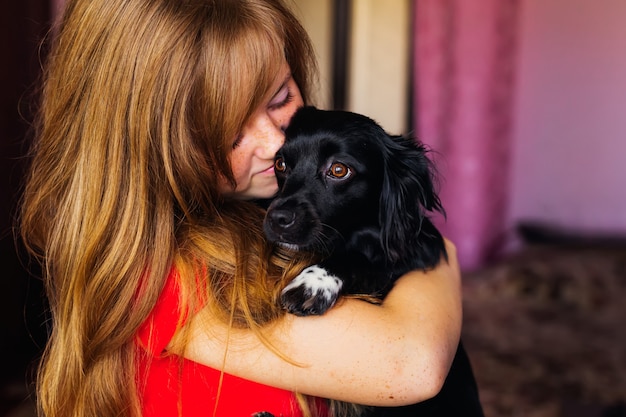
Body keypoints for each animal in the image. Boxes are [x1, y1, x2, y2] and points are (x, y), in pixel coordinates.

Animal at [260, 108, 480, 416]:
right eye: (280, 164)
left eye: (339, 170)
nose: (276, 219)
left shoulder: (405, 255)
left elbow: (360, 260)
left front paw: (313, 283)